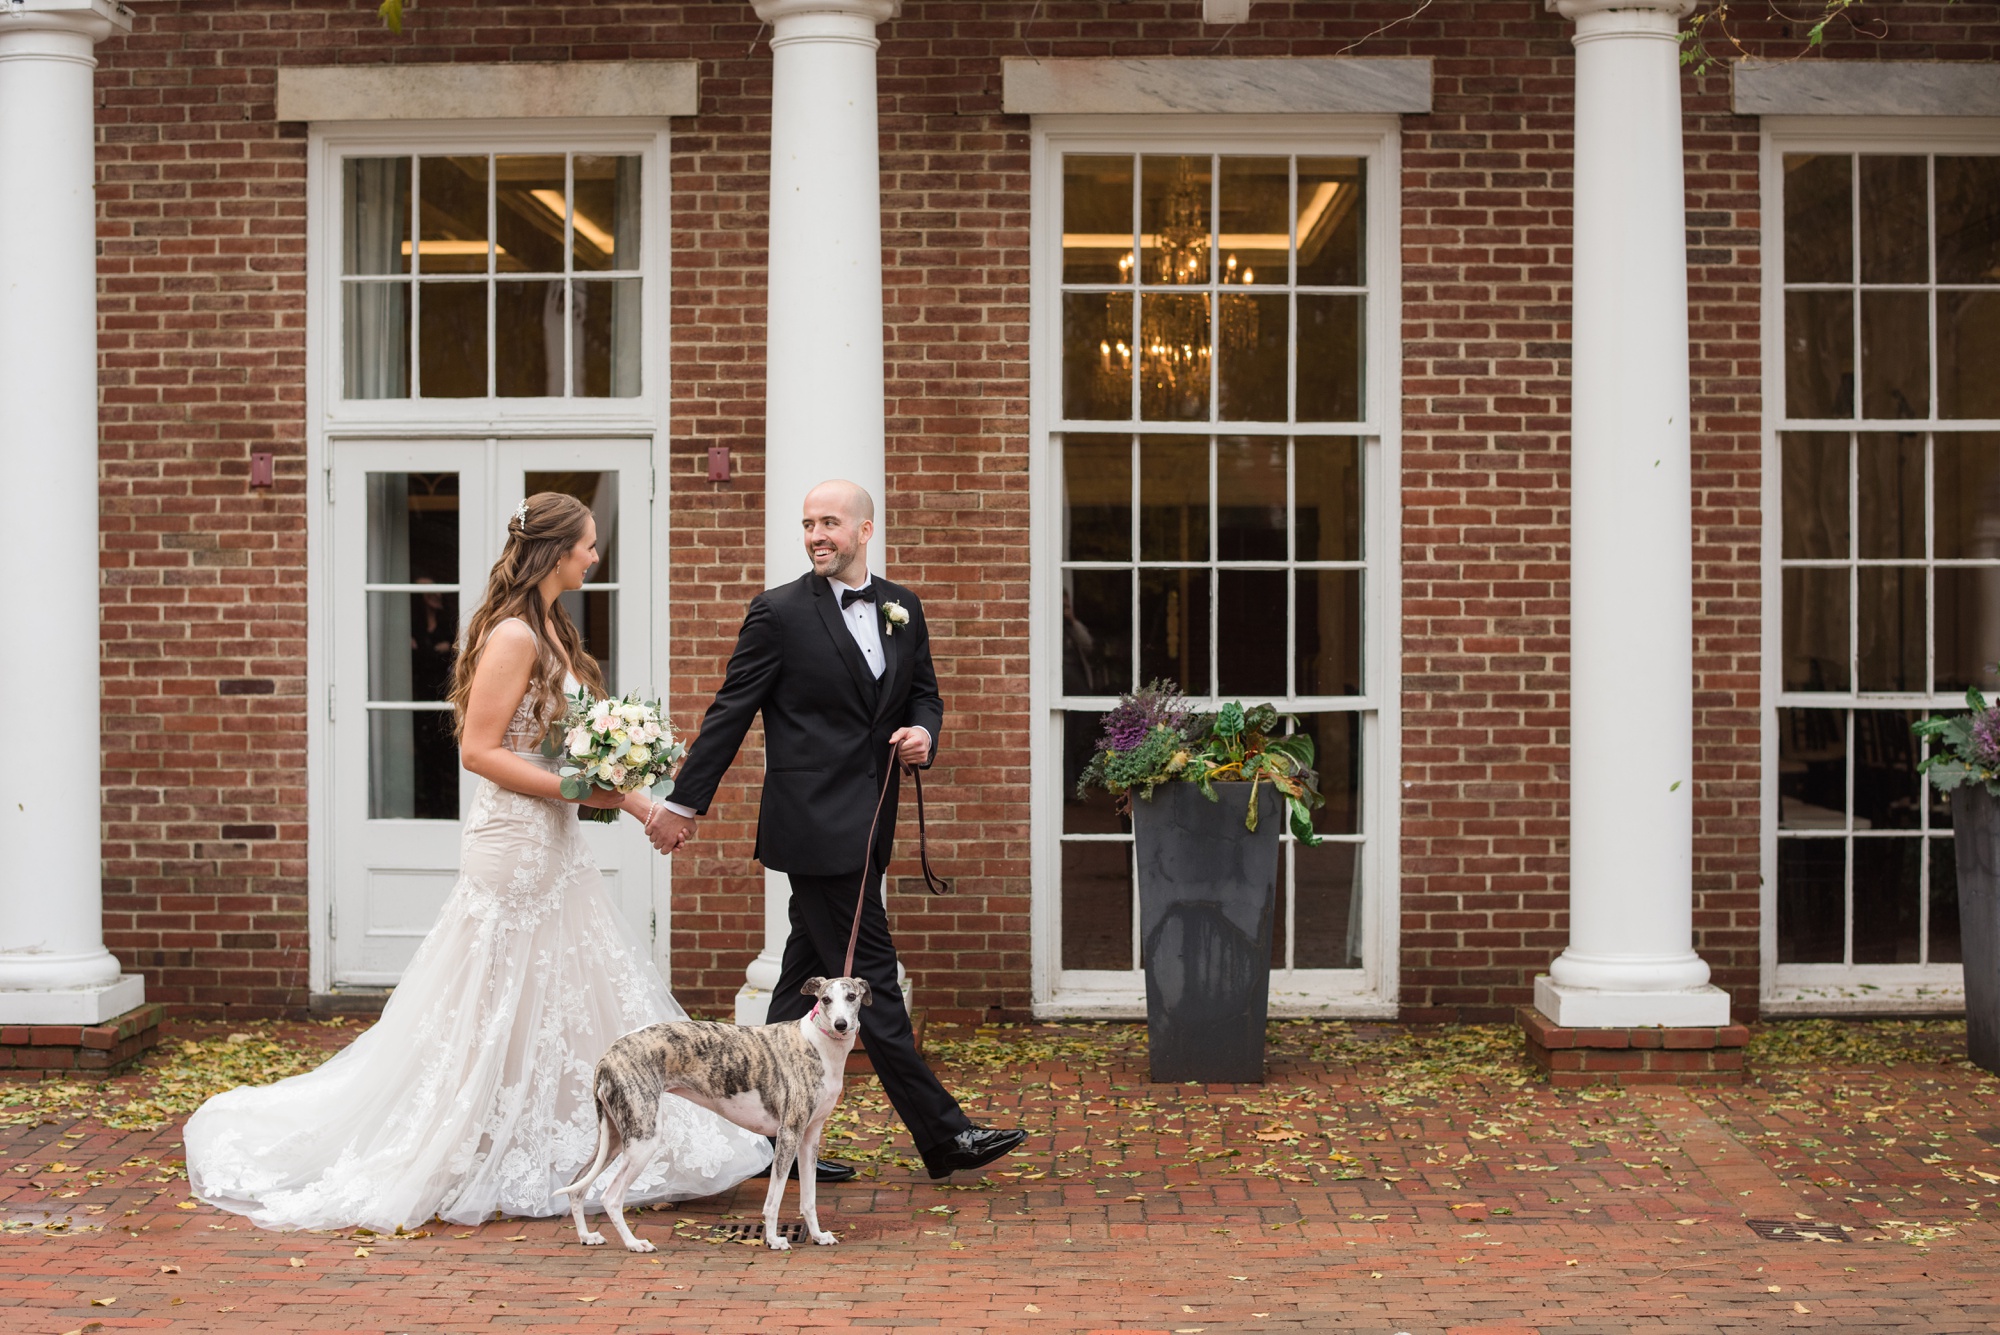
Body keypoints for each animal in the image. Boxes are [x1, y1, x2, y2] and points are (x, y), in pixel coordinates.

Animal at [564, 971, 876, 1255]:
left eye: (851, 996)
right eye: (825, 999)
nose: (841, 1024)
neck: (818, 1044)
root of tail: (607, 1056)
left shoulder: (810, 1136)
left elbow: (809, 1198)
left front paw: (819, 1236)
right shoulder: (789, 1133)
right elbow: (773, 1199)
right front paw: (773, 1240)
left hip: (616, 1137)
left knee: (576, 1185)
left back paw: (586, 1236)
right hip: (643, 1138)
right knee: (610, 1196)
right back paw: (633, 1243)